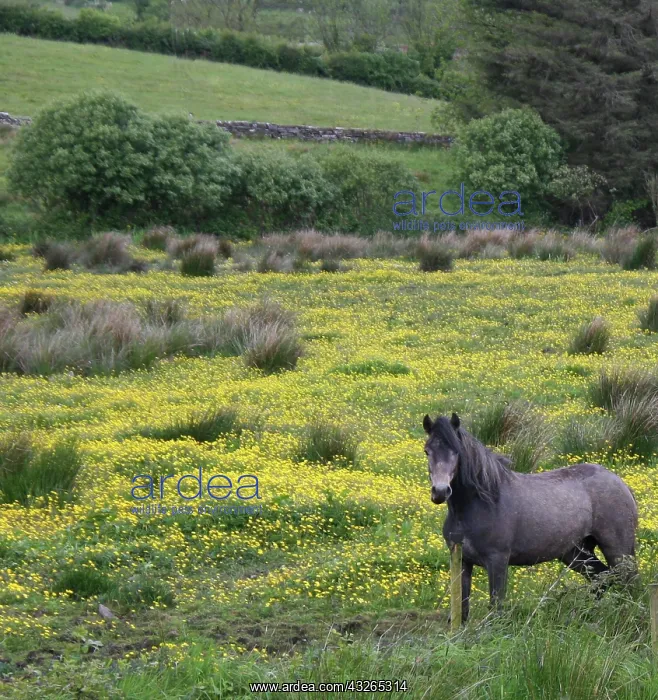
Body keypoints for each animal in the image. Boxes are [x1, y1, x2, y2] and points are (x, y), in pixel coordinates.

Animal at [423, 412, 638, 622]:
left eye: (456, 451)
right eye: (427, 451)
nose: (440, 491)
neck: (481, 502)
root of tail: (620, 483)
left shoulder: (497, 560)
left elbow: (496, 607)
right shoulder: (461, 560)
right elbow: (462, 609)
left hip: (618, 551)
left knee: (630, 584)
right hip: (575, 553)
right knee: (601, 577)